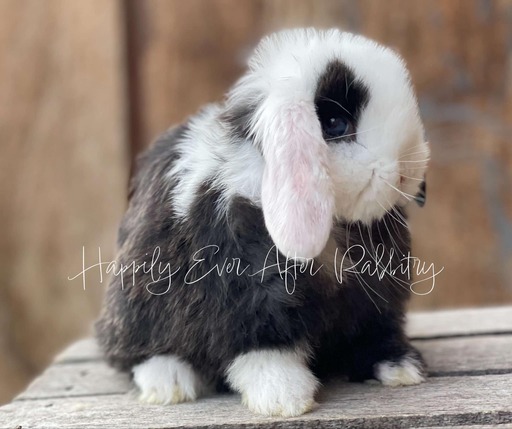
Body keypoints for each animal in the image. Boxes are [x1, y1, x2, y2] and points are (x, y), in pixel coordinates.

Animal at [95, 28, 428, 416]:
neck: (334, 226)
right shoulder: (247, 287)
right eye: (334, 124)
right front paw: (284, 396)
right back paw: (169, 382)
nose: (406, 173)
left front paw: (399, 366)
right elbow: (263, 344)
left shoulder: (375, 292)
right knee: (135, 351)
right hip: (135, 303)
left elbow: (373, 329)